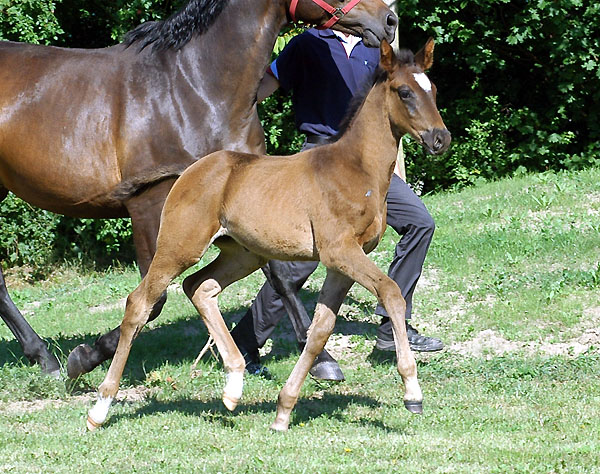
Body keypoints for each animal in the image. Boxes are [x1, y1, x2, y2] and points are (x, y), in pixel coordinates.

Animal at [0, 0, 398, 378]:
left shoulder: (248, 202)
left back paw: (43, 357)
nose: (389, 20)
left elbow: (281, 278)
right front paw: (85, 358)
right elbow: (153, 299)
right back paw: (48, 360)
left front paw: (322, 360)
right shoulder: (149, 206)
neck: (192, 88)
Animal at [85, 39, 450, 432]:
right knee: (139, 302)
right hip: (179, 247)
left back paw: (233, 385)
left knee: (200, 287)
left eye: (434, 90)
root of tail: (189, 170)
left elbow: (320, 328)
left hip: (242, 253)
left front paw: (284, 410)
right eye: (404, 92)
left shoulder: (341, 263)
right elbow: (392, 293)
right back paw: (100, 408)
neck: (356, 170)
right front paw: (412, 392)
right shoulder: (340, 251)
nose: (440, 138)